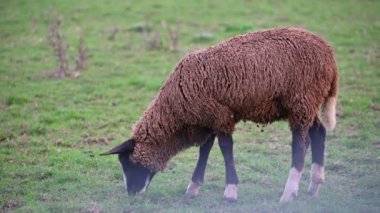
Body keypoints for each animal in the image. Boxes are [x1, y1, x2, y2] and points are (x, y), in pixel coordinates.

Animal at [101, 27, 338, 202]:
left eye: (127, 163)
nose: (131, 193)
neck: (176, 113)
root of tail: (329, 54)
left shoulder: (220, 116)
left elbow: (225, 149)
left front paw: (230, 191)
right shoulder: (208, 119)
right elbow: (205, 150)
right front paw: (193, 188)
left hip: (301, 99)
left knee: (301, 144)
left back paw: (288, 193)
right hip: (308, 103)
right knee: (319, 132)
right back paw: (314, 185)